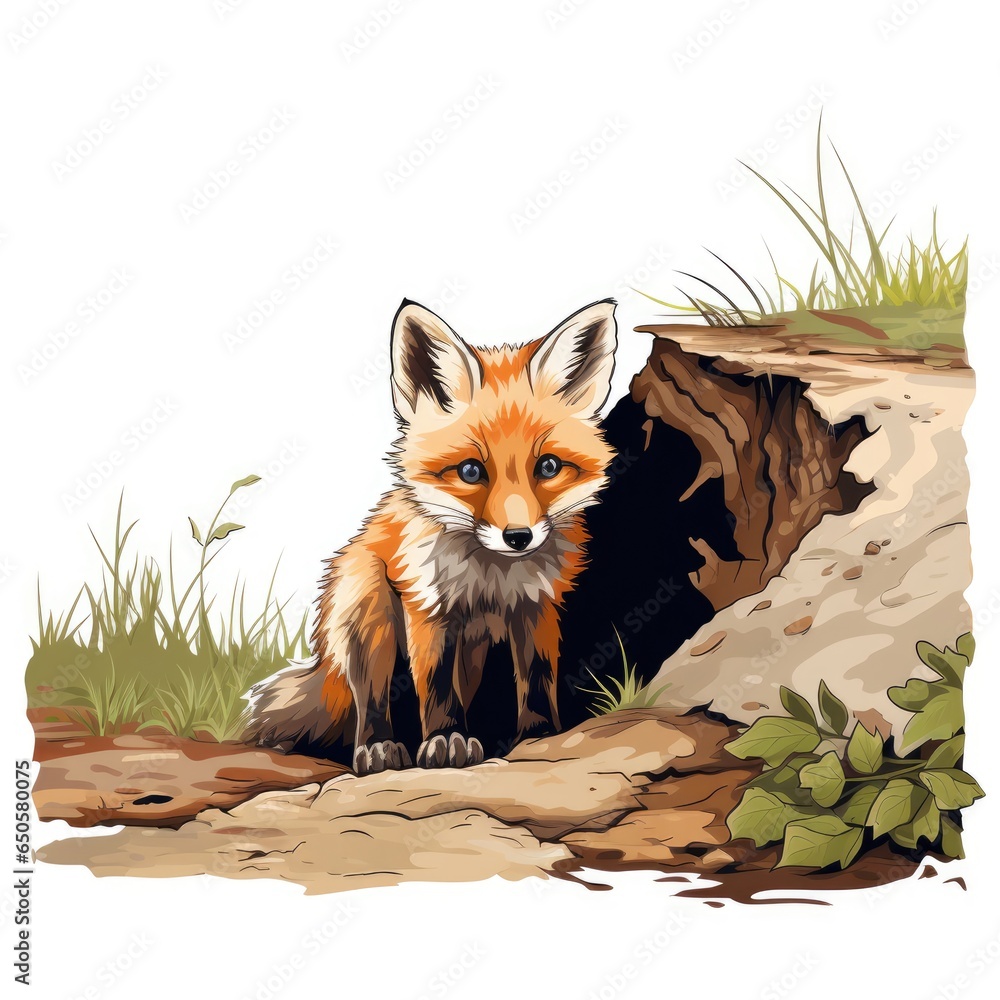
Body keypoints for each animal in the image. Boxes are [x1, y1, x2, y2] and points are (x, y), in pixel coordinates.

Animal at [243, 297, 618, 773]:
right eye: (471, 471)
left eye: (548, 467)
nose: (518, 536)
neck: (492, 577)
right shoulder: (427, 606)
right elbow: (436, 688)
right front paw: (445, 738)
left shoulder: (536, 607)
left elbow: (536, 677)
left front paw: (540, 735)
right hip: (372, 612)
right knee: (371, 700)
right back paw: (378, 747)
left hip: (471, 648)